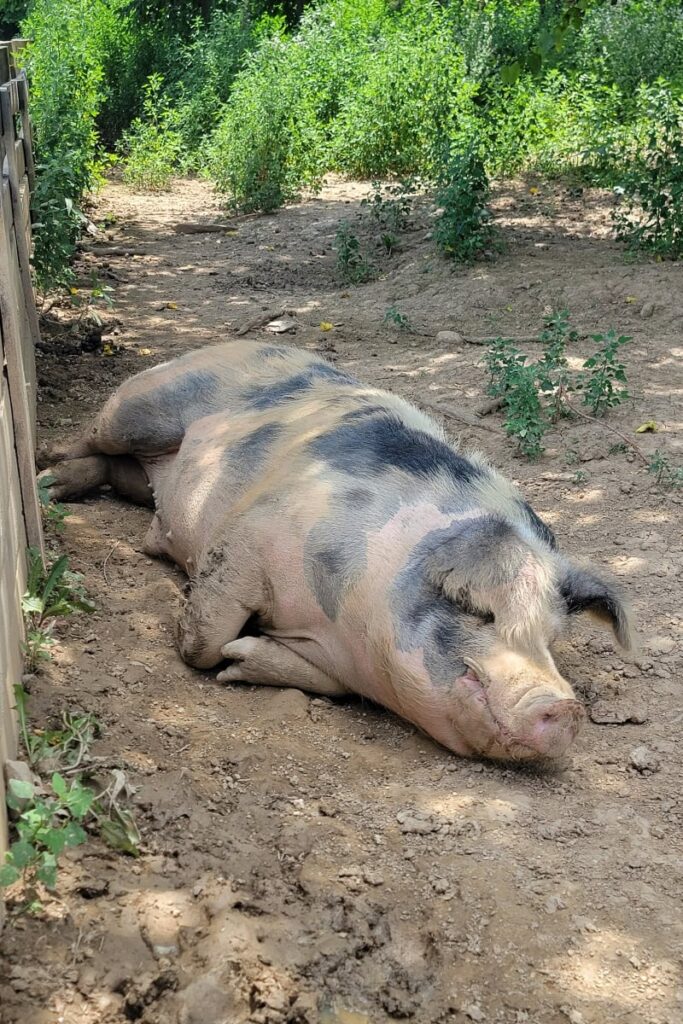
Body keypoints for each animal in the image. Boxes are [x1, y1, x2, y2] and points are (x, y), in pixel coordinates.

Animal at [42, 341, 633, 761]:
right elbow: (205, 636)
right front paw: (215, 656)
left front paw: (239, 662)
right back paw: (48, 477)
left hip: (145, 472)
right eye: (480, 612)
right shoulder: (248, 535)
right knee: (92, 438)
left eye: (551, 638)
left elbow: (321, 683)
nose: (565, 707)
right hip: (142, 405)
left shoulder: (334, 660)